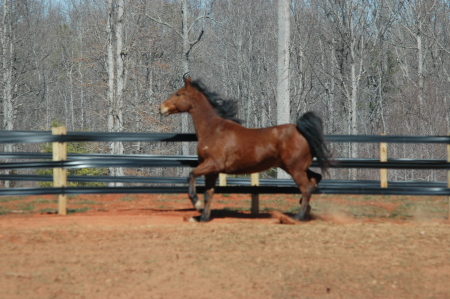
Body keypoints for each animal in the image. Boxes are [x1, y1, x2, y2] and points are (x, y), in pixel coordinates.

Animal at [161, 77, 330, 223]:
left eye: (178, 93)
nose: (161, 108)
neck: (213, 130)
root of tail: (300, 130)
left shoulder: (213, 164)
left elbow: (191, 176)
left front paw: (196, 204)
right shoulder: (212, 171)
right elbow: (209, 193)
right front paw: (203, 218)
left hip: (295, 168)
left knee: (306, 187)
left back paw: (297, 217)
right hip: (293, 166)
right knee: (315, 179)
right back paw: (306, 210)